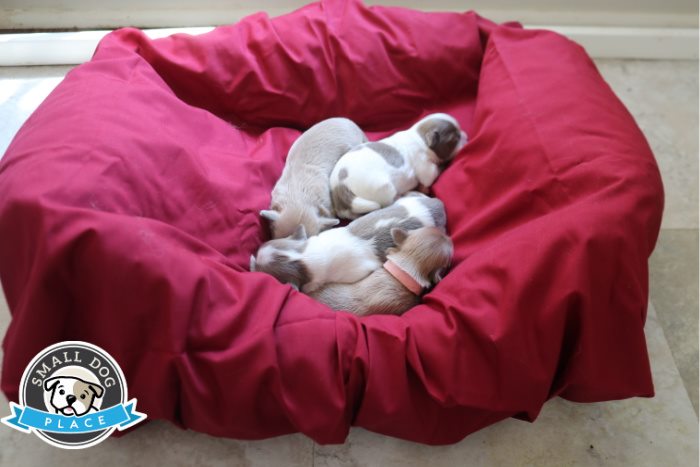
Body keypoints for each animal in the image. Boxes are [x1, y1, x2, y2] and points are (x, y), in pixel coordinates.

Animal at [330, 113, 468, 219]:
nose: (466, 136)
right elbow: (432, 174)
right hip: (385, 188)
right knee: (388, 203)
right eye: (455, 139)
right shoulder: (425, 168)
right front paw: (443, 165)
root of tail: (340, 188)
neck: (420, 137)